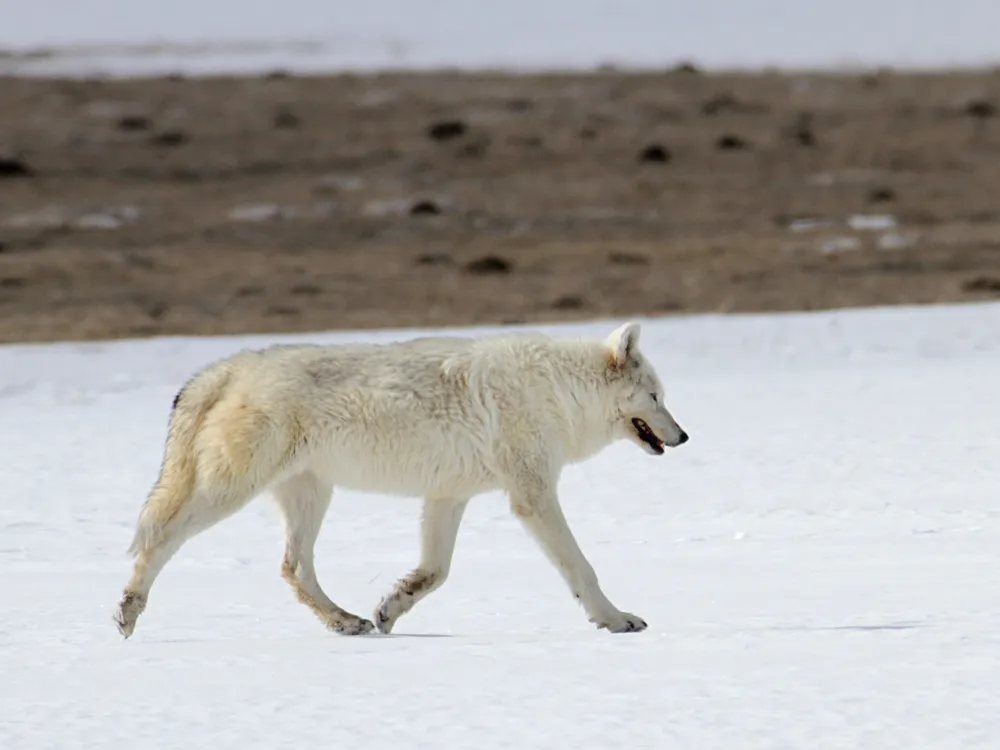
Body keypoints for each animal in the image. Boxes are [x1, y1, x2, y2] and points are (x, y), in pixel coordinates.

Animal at [113, 321, 689, 639]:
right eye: (656, 397)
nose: (683, 436)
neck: (559, 390)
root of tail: (224, 368)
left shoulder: (448, 497)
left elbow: (435, 572)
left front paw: (389, 609)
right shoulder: (532, 495)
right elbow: (581, 568)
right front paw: (616, 620)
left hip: (310, 495)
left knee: (293, 568)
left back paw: (347, 622)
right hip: (230, 492)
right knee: (160, 540)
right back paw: (127, 612)